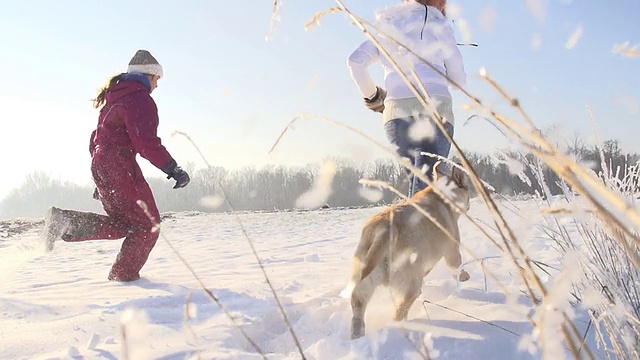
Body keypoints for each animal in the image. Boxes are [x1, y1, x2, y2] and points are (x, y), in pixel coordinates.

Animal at [350, 163, 470, 338]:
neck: (441, 195)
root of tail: (386, 229)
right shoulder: (452, 249)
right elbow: (457, 266)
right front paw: (464, 277)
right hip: (410, 284)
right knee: (400, 311)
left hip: (365, 279)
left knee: (358, 305)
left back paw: (357, 336)